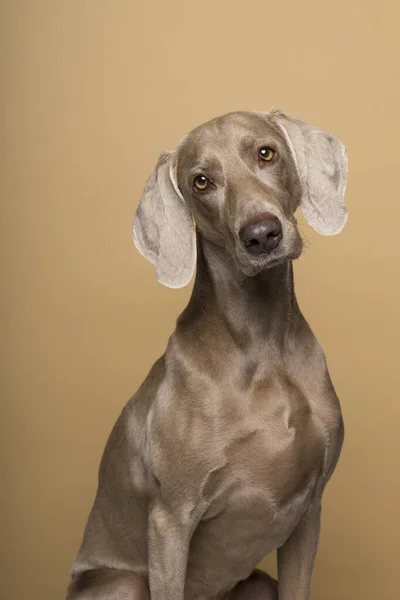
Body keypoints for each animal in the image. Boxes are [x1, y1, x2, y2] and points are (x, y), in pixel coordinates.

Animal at [65, 109, 346, 600]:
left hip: (257, 584)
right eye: (201, 181)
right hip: (124, 581)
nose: (261, 235)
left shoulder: (309, 513)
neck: (261, 343)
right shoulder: (170, 521)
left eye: (266, 153)